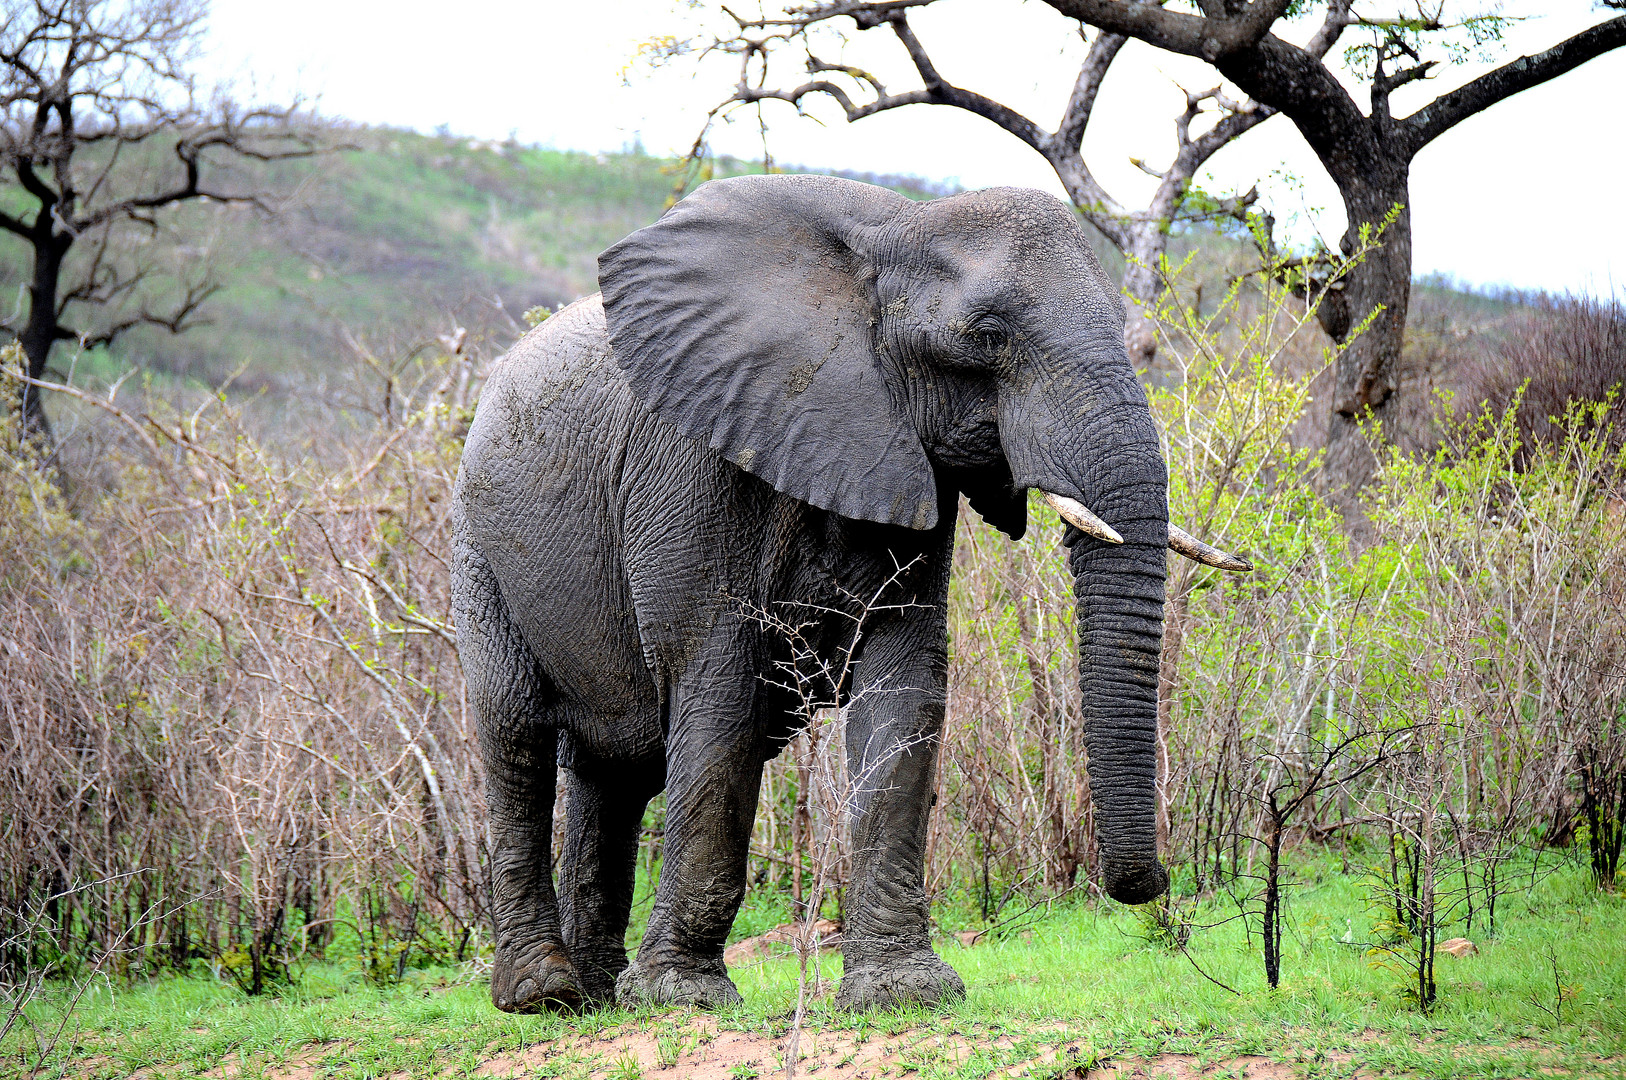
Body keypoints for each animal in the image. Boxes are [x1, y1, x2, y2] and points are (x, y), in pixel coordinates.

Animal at [452, 173, 1248, 1014]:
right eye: (986, 334)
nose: (1149, 885)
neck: (891, 233)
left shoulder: (908, 460)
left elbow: (905, 688)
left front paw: (903, 992)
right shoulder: (693, 460)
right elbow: (719, 691)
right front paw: (684, 997)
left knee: (617, 769)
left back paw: (598, 997)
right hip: (478, 546)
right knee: (517, 735)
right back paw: (543, 994)